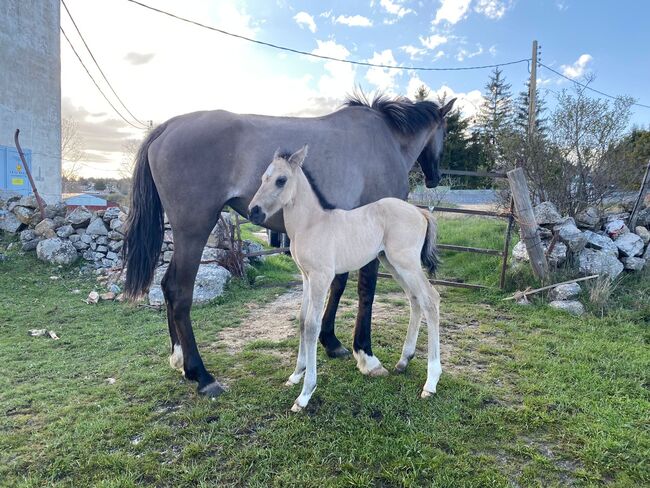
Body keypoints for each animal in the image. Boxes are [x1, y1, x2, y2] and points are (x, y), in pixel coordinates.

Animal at [123, 92, 456, 396]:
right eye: (445, 129)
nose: (435, 177)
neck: (386, 137)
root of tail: (168, 126)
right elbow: (365, 291)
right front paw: (365, 355)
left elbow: (338, 286)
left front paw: (331, 342)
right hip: (193, 230)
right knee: (179, 291)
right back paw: (202, 375)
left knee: (166, 286)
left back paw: (180, 361)